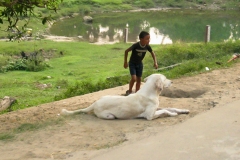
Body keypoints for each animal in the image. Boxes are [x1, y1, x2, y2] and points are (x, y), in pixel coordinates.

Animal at [61, 74, 189, 120]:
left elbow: (171, 108)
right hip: (109, 116)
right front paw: (173, 114)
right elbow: (165, 111)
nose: (172, 82)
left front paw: (184, 110)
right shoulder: (149, 116)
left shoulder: (157, 108)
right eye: (165, 78)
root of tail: (95, 103)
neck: (151, 92)